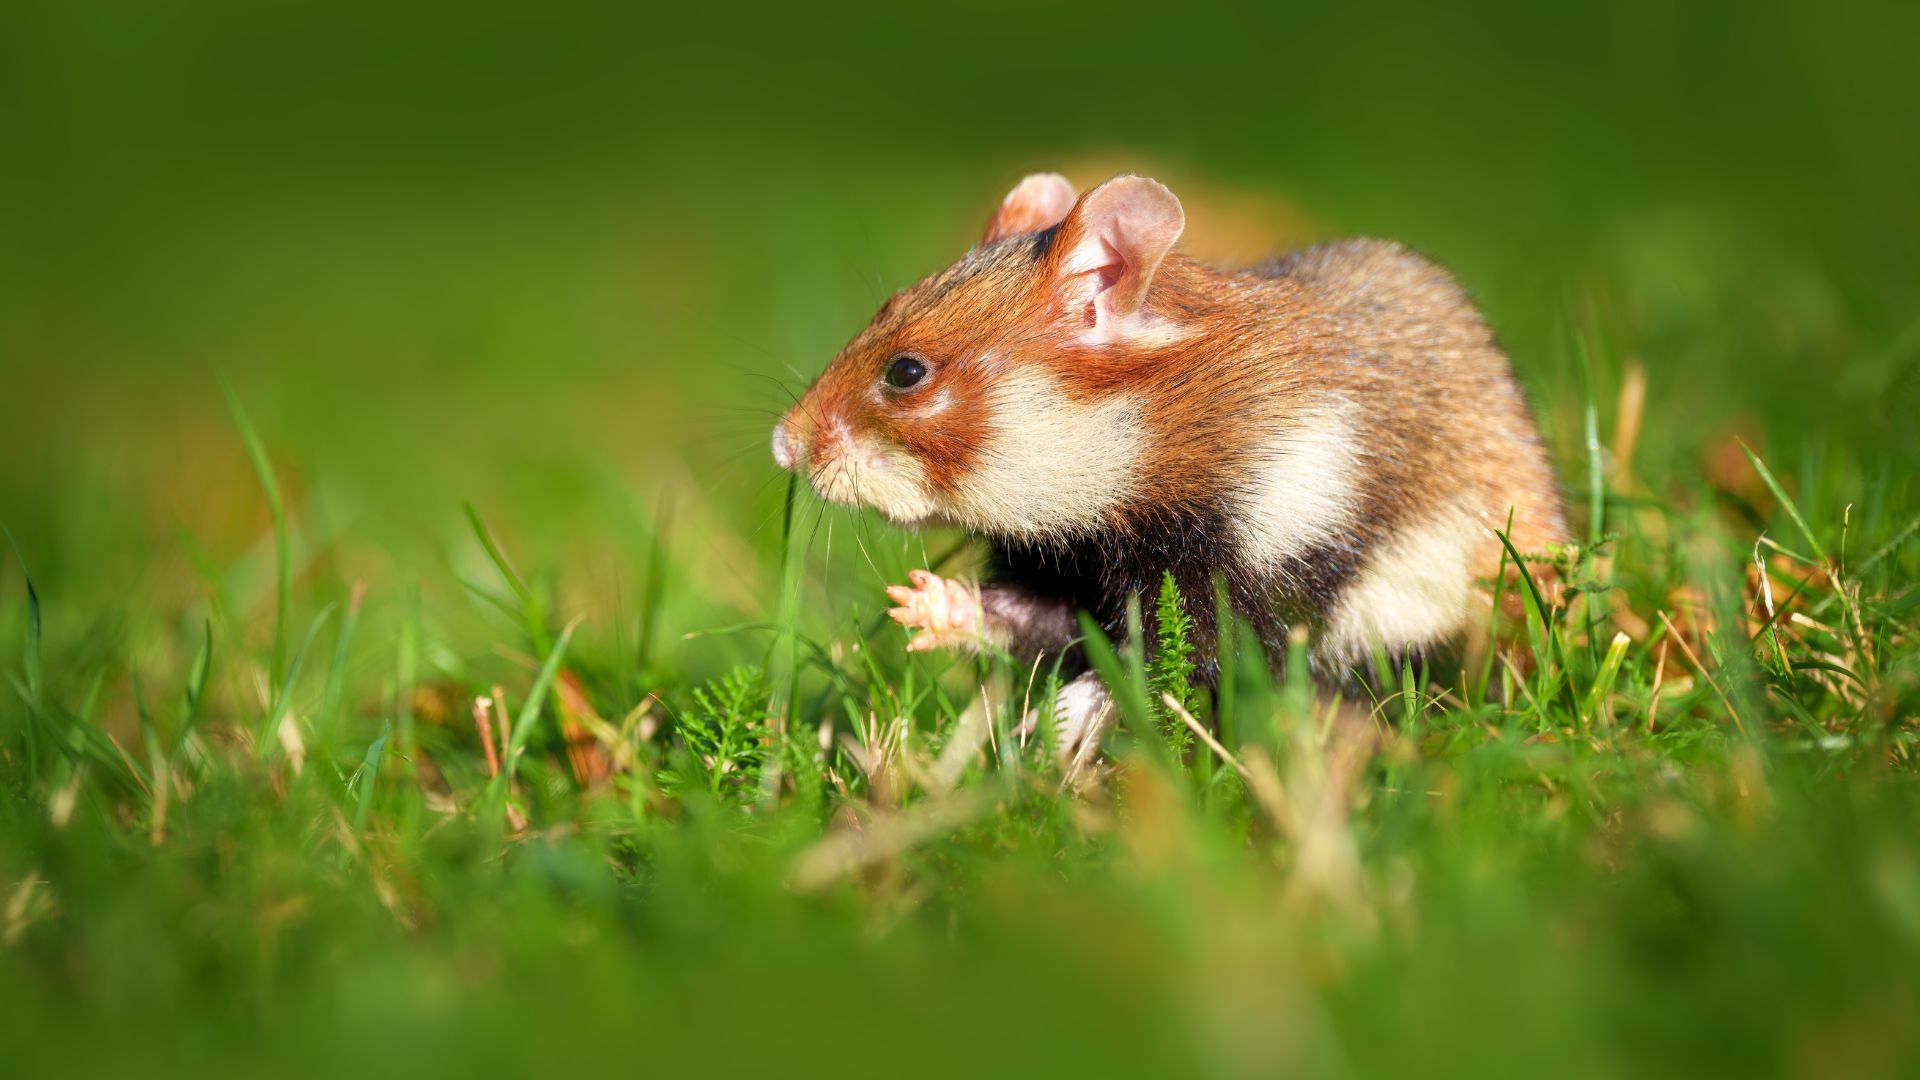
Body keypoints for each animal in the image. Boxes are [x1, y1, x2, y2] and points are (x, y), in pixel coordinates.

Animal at [772, 172, 1566, 755]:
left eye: (906, 372)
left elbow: (1161, 663)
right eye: (882, 308)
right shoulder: (1076, 570)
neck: (1139, 451)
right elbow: (1038, 621)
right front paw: (918, 603)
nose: (784, 445)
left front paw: (1057, 732)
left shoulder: (1253, 565)